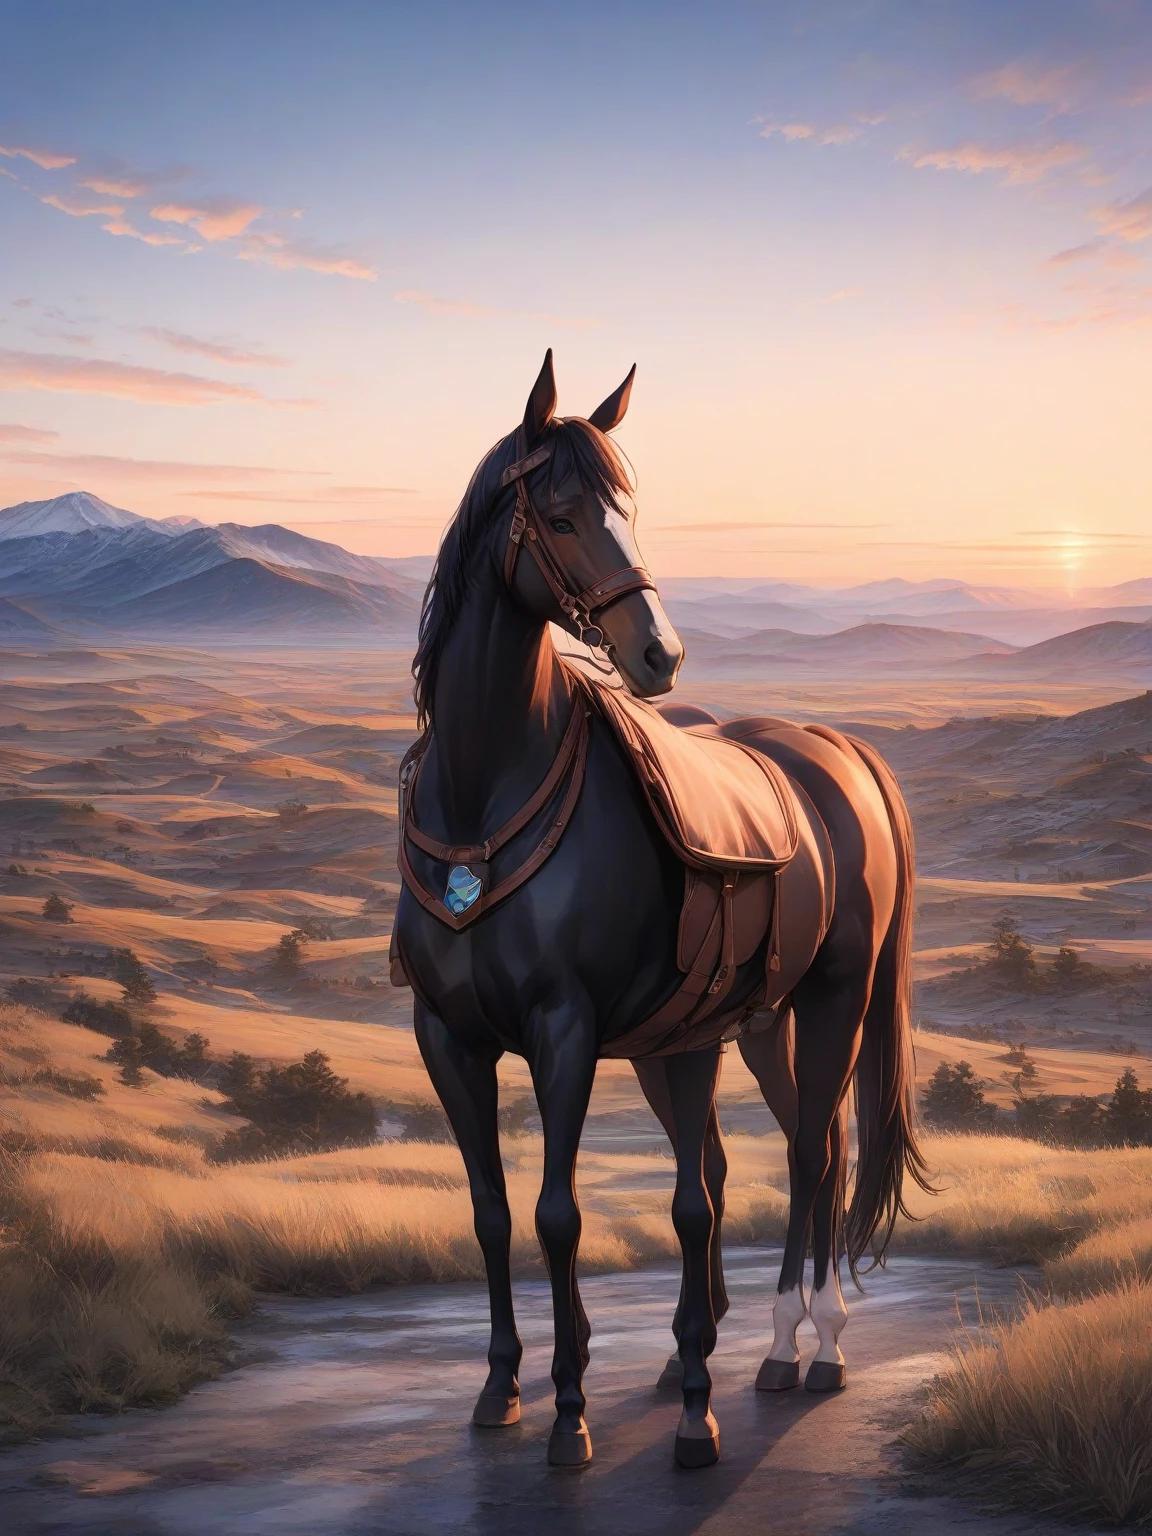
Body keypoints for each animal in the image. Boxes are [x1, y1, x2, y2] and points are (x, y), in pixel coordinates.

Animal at [391, 350, 931, 1470]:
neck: (483, 792)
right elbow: (492, 1212)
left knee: (814, 1151)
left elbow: (559, 1214)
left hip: (834, 1002)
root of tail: (837, 751)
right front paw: (503, 1386)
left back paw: (805, 1340)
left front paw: (570, 1411)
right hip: (740, 1028)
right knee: (773, 1152)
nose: (659, 654)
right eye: (559, 519)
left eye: (627, 511)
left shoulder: (561, 1030)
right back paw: (754, 1341)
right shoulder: (447, 1037)